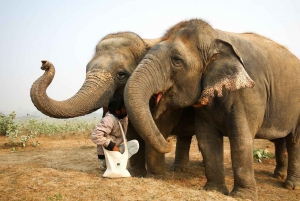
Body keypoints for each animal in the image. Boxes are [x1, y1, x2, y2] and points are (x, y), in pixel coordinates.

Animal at [123, 18, 298, 199]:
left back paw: (290, 185)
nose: (168, 144)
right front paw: (214, 190)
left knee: (294, 141)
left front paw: (242, 197)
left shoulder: (249, 93)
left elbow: (241, 139)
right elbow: (207, 139)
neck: (216, 38)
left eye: (177, 60)